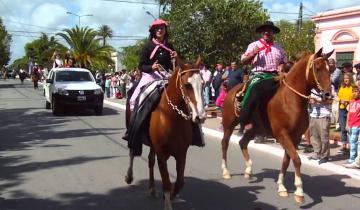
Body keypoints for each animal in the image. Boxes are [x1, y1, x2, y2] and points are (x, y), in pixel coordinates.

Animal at [126, 57, 205, 210]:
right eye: (187, 85)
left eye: (203, 84)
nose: (200, 116)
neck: (171, 116)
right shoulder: (162, 154)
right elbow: (167, 182)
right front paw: (168, 202)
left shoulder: (181, 154)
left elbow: (179, 182)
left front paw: (171, 196)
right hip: (133, 131)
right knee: (132, 152)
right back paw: (129, 176)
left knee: (150, 160)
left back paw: (152, 188)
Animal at [218, 48, 334, 203]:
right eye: (317, 67)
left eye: (330, 69)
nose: (328, 95)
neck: (290, 99)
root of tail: (232, 90)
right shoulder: (282, 134)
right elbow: (296, 159)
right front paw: (299, 191)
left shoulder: (295, 137)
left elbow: (287, 160)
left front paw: (281, 187)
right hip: (229, 124)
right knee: (225, 143)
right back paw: (226, 171)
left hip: (255, 128)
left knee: (243, 142)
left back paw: (249, 170)